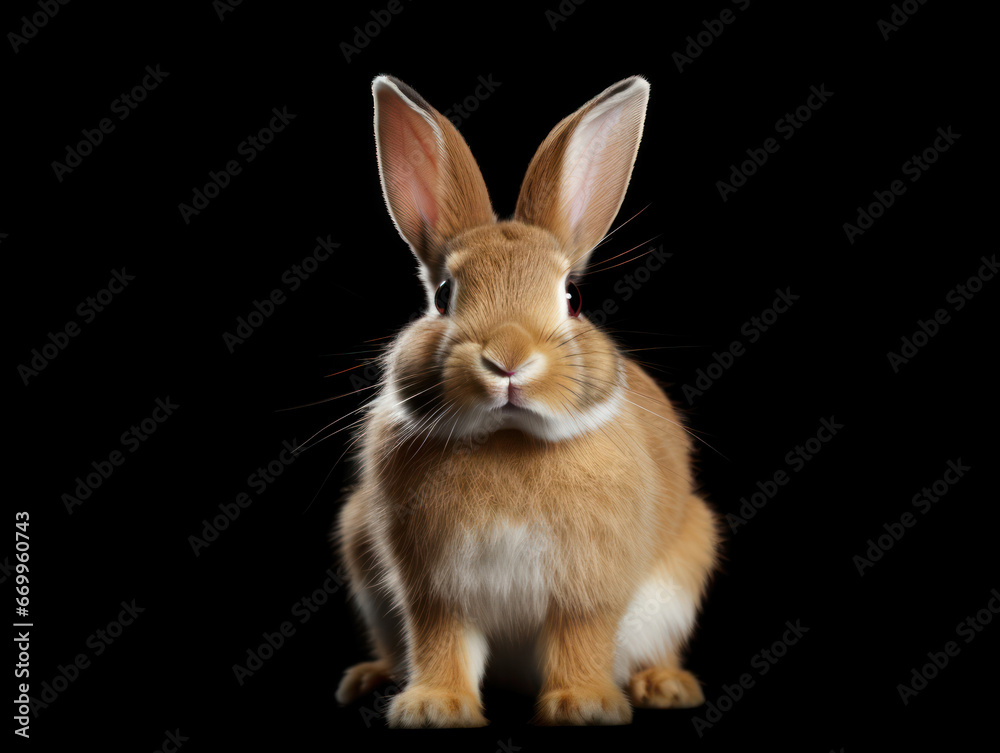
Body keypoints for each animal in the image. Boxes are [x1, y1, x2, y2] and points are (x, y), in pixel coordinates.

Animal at [333, 74, 719, 728]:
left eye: (573, 297)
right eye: (443, 295)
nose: (507, 359)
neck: (506, 438)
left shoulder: (588, 589)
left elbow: (580, 636)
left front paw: (583, 705)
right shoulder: (433, 589)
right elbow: (440, 641)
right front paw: (434, 709)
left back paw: (666, 686)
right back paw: (368, 679)